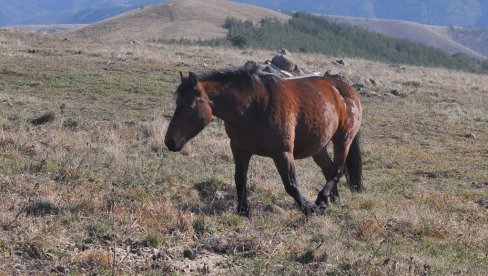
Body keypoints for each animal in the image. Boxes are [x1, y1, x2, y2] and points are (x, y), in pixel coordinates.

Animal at [164, 62, 362, 216]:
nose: (170, 141)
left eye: (190, 106)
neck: (252, 107)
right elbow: (240, 178)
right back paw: (330, 200)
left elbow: (290, 185)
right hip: (319, 147)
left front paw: (309, 208)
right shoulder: (240, 149)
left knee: (338, 171)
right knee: (329, 169)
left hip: (342, 141)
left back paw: (321, 200)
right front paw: (243, 210)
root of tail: (347, 91)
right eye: (177, 103)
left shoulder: (282, 153)